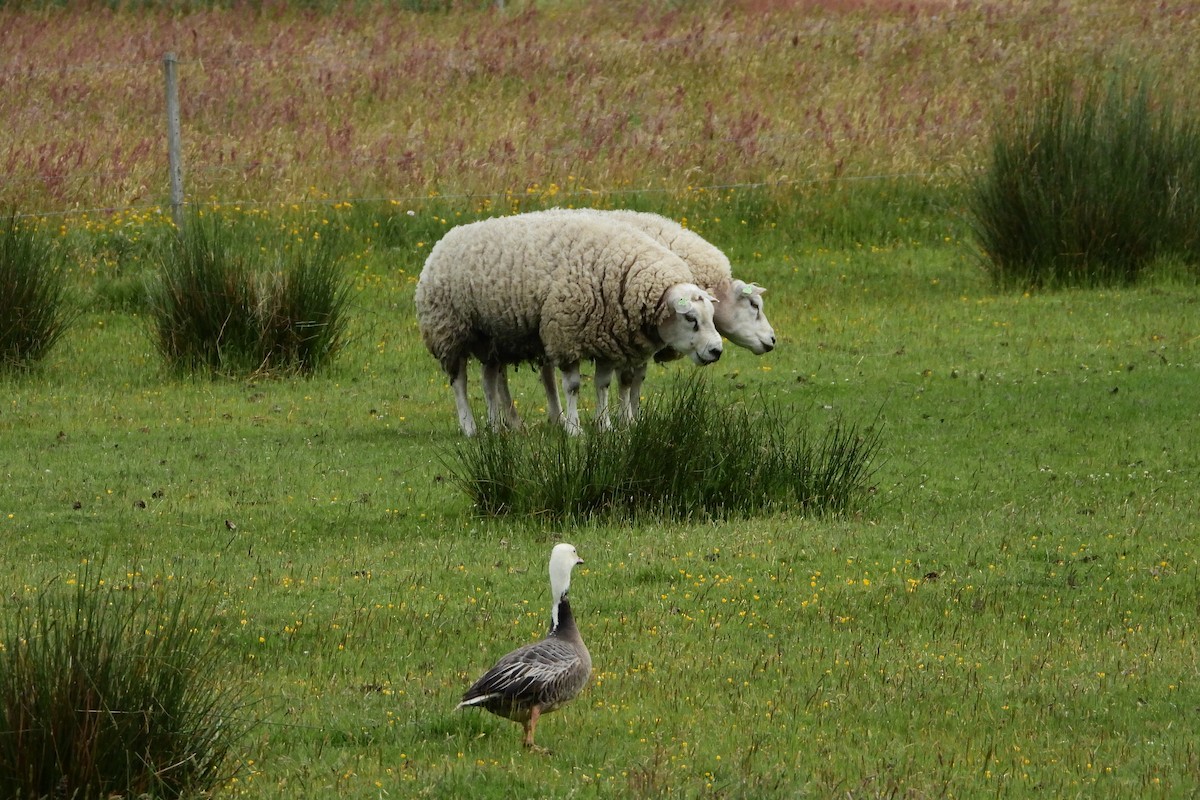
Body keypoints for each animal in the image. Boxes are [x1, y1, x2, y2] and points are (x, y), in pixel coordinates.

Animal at [415, 212, 720, 434]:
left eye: (710, 317)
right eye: (690, 318)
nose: (717, 351)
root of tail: (443, 241)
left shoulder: (606, 337)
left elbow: (602, 385)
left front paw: (605, 426)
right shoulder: (566, 334)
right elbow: (573, 386)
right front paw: (574, 429)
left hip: (491, 337)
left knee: (489, 379)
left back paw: (496, 426)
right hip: (450, 331)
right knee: (459, 381)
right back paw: (469, 427)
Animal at [484, 209, 777, 429]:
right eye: (754, 305)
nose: (773, 341)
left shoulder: (638, 337)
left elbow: (636, 379)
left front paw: (633, 417)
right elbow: (626, 379)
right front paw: (625, 419)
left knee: (533, 372)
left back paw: (550, 418)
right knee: (504, 374)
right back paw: (515, 421)